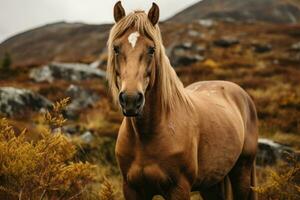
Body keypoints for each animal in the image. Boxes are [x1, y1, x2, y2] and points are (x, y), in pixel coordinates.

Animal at [105, 1, 258, 198]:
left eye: (151, 49)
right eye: (116, 48)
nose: (131, 99)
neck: (146, 136)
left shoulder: (179, 188)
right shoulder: (132, 189)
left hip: (242, 171)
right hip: (212, 183)